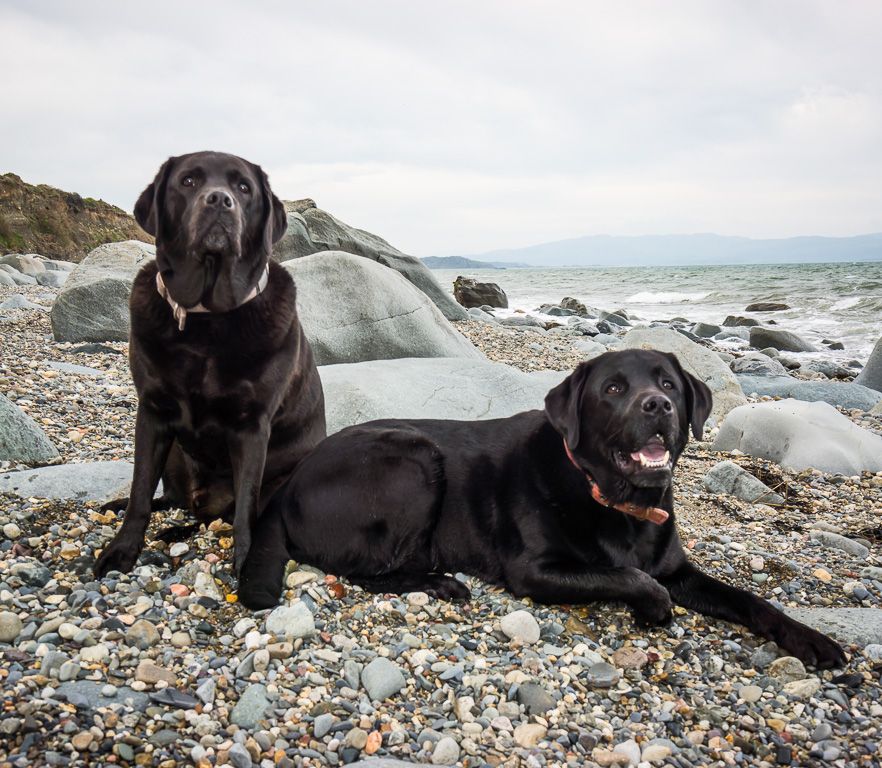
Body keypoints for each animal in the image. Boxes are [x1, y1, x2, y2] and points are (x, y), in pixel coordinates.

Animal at [93, 153, 326, 580]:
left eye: (244, 188)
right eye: (188, 181)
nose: (219, 200)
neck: (206, 319)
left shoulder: (252, 427)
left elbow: (246, 507)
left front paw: (246, 562)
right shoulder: (152, 414)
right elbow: (139, 491)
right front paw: (122, 549)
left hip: (281, 481)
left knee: (219, 515)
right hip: (173, 454)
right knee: (173, 500)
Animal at [237, 352, 844, 668]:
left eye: (669, 384)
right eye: (613, 389)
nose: (658, 406)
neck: (619, 501)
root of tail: (287, 485)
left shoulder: (679, 569)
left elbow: (750, 600)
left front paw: (813, 641)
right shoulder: (536, 570)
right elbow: (631, 577)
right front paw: (655, 610)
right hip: (415, 459)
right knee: (365, 571)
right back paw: (439, 583)